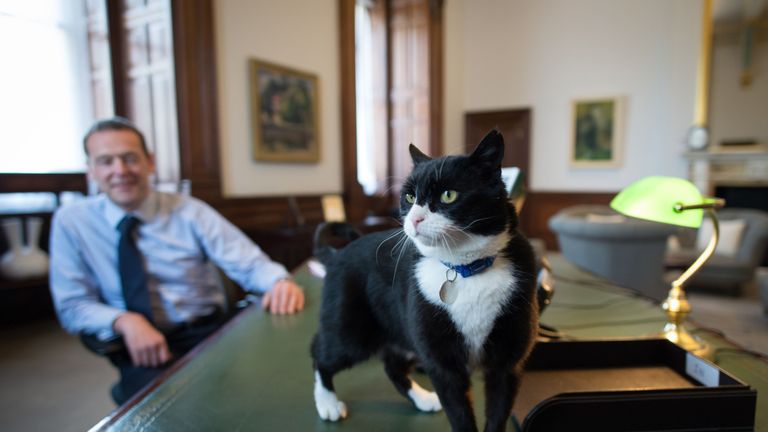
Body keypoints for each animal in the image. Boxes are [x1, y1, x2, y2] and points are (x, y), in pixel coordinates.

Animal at [308, 130, 536, 430]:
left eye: (448, 195)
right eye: (409, 196)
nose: (415, 218)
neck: (465, 269)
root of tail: (336, 254)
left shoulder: (507, 363)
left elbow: (498, 413)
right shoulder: (443, 363)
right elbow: (460, 414)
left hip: (401, 332)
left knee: (392, 366)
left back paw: (423, 398)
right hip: (351, 330)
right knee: (320, 353)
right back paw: (328, 403)